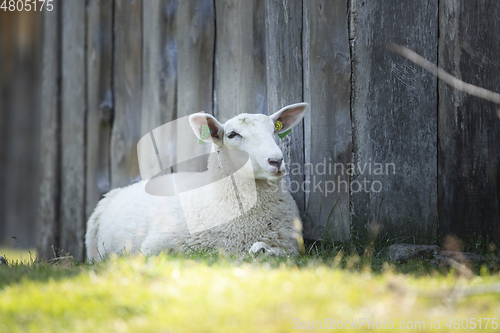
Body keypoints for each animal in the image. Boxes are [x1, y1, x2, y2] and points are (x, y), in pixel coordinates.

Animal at [85, 101, 308, 260]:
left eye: (273, 130)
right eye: (232, 134)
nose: (276, 160)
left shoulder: (289, 247)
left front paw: (262, 251)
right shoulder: (155, 248)